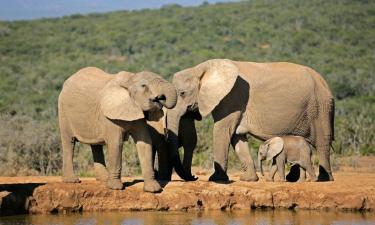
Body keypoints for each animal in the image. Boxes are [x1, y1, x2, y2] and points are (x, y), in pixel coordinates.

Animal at [167, 58, 334, 183]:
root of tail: (325, 83)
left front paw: (216, 179)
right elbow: (236, 136)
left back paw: (324, 179)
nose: (193, 177)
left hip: (320, 109)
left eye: (182, 93)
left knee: (322, 143)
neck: (201, 68)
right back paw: (293, 179)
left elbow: (222, 130)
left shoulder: (231, 98)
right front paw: (248, 179)